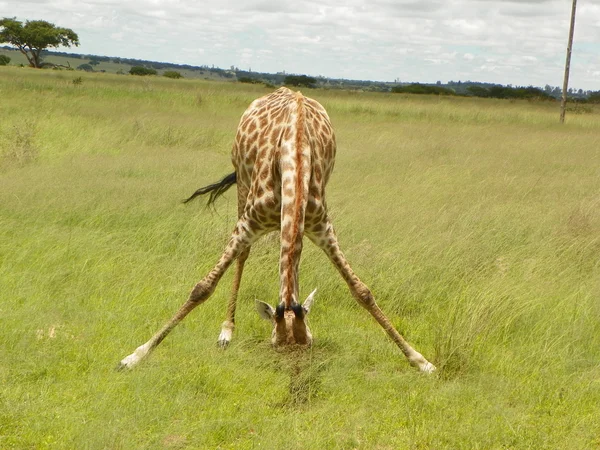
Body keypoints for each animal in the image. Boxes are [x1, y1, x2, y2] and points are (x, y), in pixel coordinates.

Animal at [118, 87, 436, 372]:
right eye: (275, 345)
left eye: (308, 345)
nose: (295, 370)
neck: (295, 158)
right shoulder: (248, 224)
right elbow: (202, 288)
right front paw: (134, 356)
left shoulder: (322, 227)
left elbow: (362, 291)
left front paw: (421, 361)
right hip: (241, 185)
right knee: (244, 255)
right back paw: (226, 330)